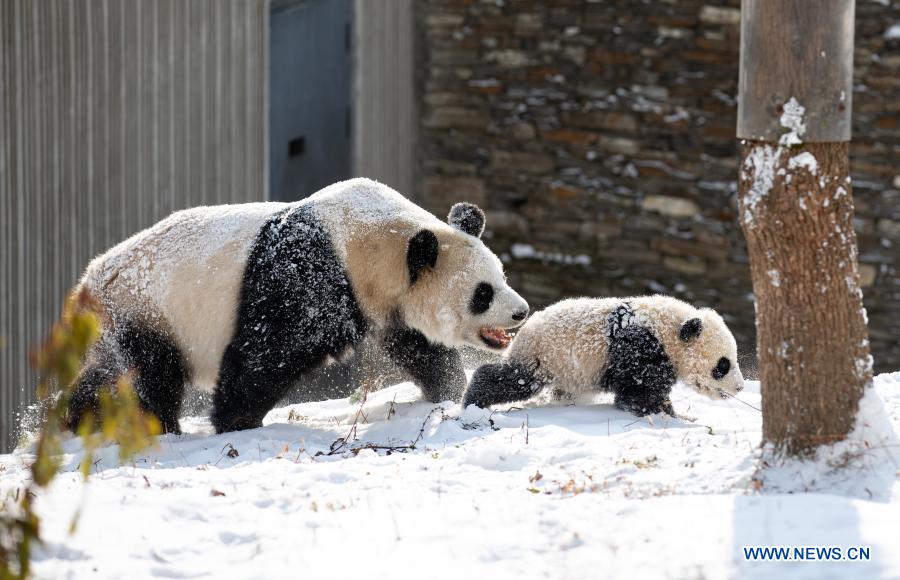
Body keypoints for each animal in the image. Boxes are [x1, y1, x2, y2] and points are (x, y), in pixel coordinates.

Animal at [68, 179, 528, 432]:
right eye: (483, 293)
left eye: (502, 275)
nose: (521, 312)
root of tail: (88, 282)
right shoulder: (307, 277)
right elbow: (267, 351)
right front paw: (237, 423)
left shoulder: (385, 302)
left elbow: (420, 348)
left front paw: (450, 391)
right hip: (147, 308)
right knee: (150, 375)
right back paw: (160, 427)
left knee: (104, 376)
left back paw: (74, 420)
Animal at [460, 296, 740, 414]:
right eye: (722, 365)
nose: (739, 387)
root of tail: (524, 330)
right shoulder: (640, 346)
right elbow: (639, 390)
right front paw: (664, 411)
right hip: (543, 356)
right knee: (516, 380)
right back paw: (474, 399)